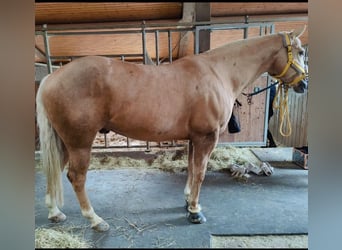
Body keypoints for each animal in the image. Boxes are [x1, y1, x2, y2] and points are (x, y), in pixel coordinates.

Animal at [36, 26, 308, 231]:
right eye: (301, 51)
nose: (303, 84)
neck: (219, 72)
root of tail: (51, 78)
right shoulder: (206, 137)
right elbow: (200, 173)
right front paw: (195, 212)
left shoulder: (194, 138)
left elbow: (191, 170)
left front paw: (188, 201)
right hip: (80, 142)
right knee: (76, 177)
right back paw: (95, 220)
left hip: (63, 142)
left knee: (54, 170)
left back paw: (54, 212)